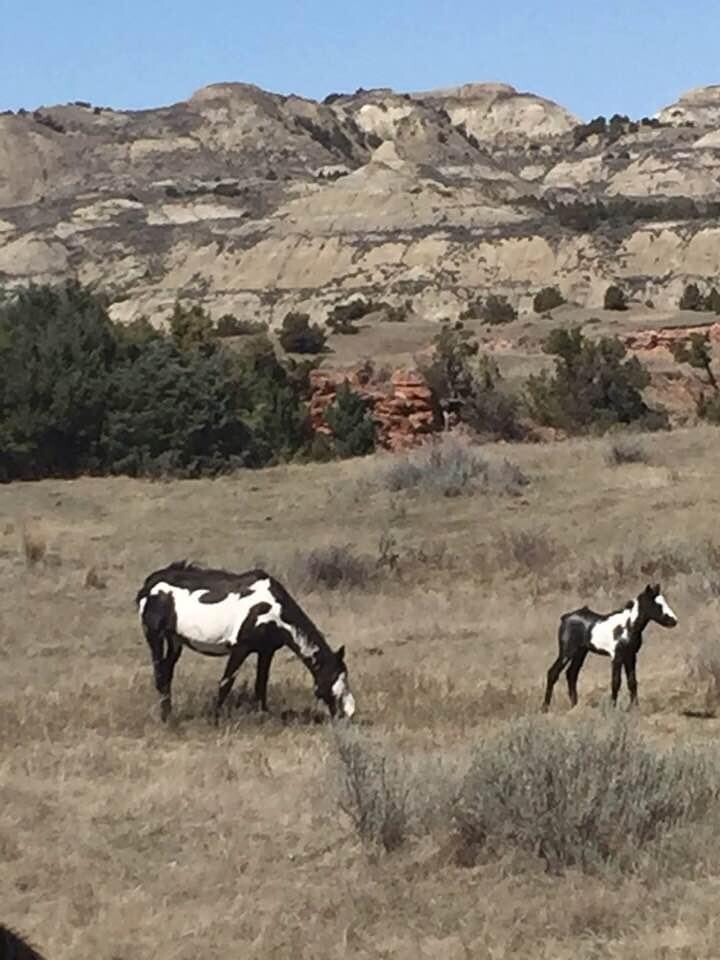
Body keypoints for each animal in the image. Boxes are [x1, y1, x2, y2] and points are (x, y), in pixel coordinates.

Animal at [136, 561, 356, 722]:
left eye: (345, 675)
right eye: (333, 677)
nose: (348, 713)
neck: (272, 609)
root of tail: (149, 584)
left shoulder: (266, 651)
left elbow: (261, 684)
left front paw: (263, 717)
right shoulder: (240, 648)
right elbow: (226, 683)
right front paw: (215, 719)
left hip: (175, 640)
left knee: (166, 673)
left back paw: (169, 715)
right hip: (154, 635)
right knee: (160, 674)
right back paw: (166, 719)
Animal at [542, 583, 678, 711]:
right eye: (657, 604)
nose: (674, 621)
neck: (628, 626)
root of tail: (565, 617)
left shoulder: (631, 656)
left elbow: (632, 681)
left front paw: (634, 708)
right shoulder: (617, 657)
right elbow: (616, 682)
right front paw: (613, 708)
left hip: (581, 652)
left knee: (571, 674)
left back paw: (574, 707)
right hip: (567, 651)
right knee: (553, 673)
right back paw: (545, 708)